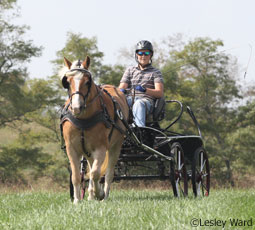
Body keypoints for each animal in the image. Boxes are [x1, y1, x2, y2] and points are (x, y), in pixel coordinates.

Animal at [59, 57, 127, 203]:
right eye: (67, 82)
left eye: (87, 82)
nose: (76, 107)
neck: (83, 119)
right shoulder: (72, 149)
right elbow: (76, 175)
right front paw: (77, 201)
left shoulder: (101, 148)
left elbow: (96, 173)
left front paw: (99, 193)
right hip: (87, 151)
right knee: (90, 168)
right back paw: (90, 196)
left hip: (116, 146)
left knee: (108, 173)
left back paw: (103, 195)